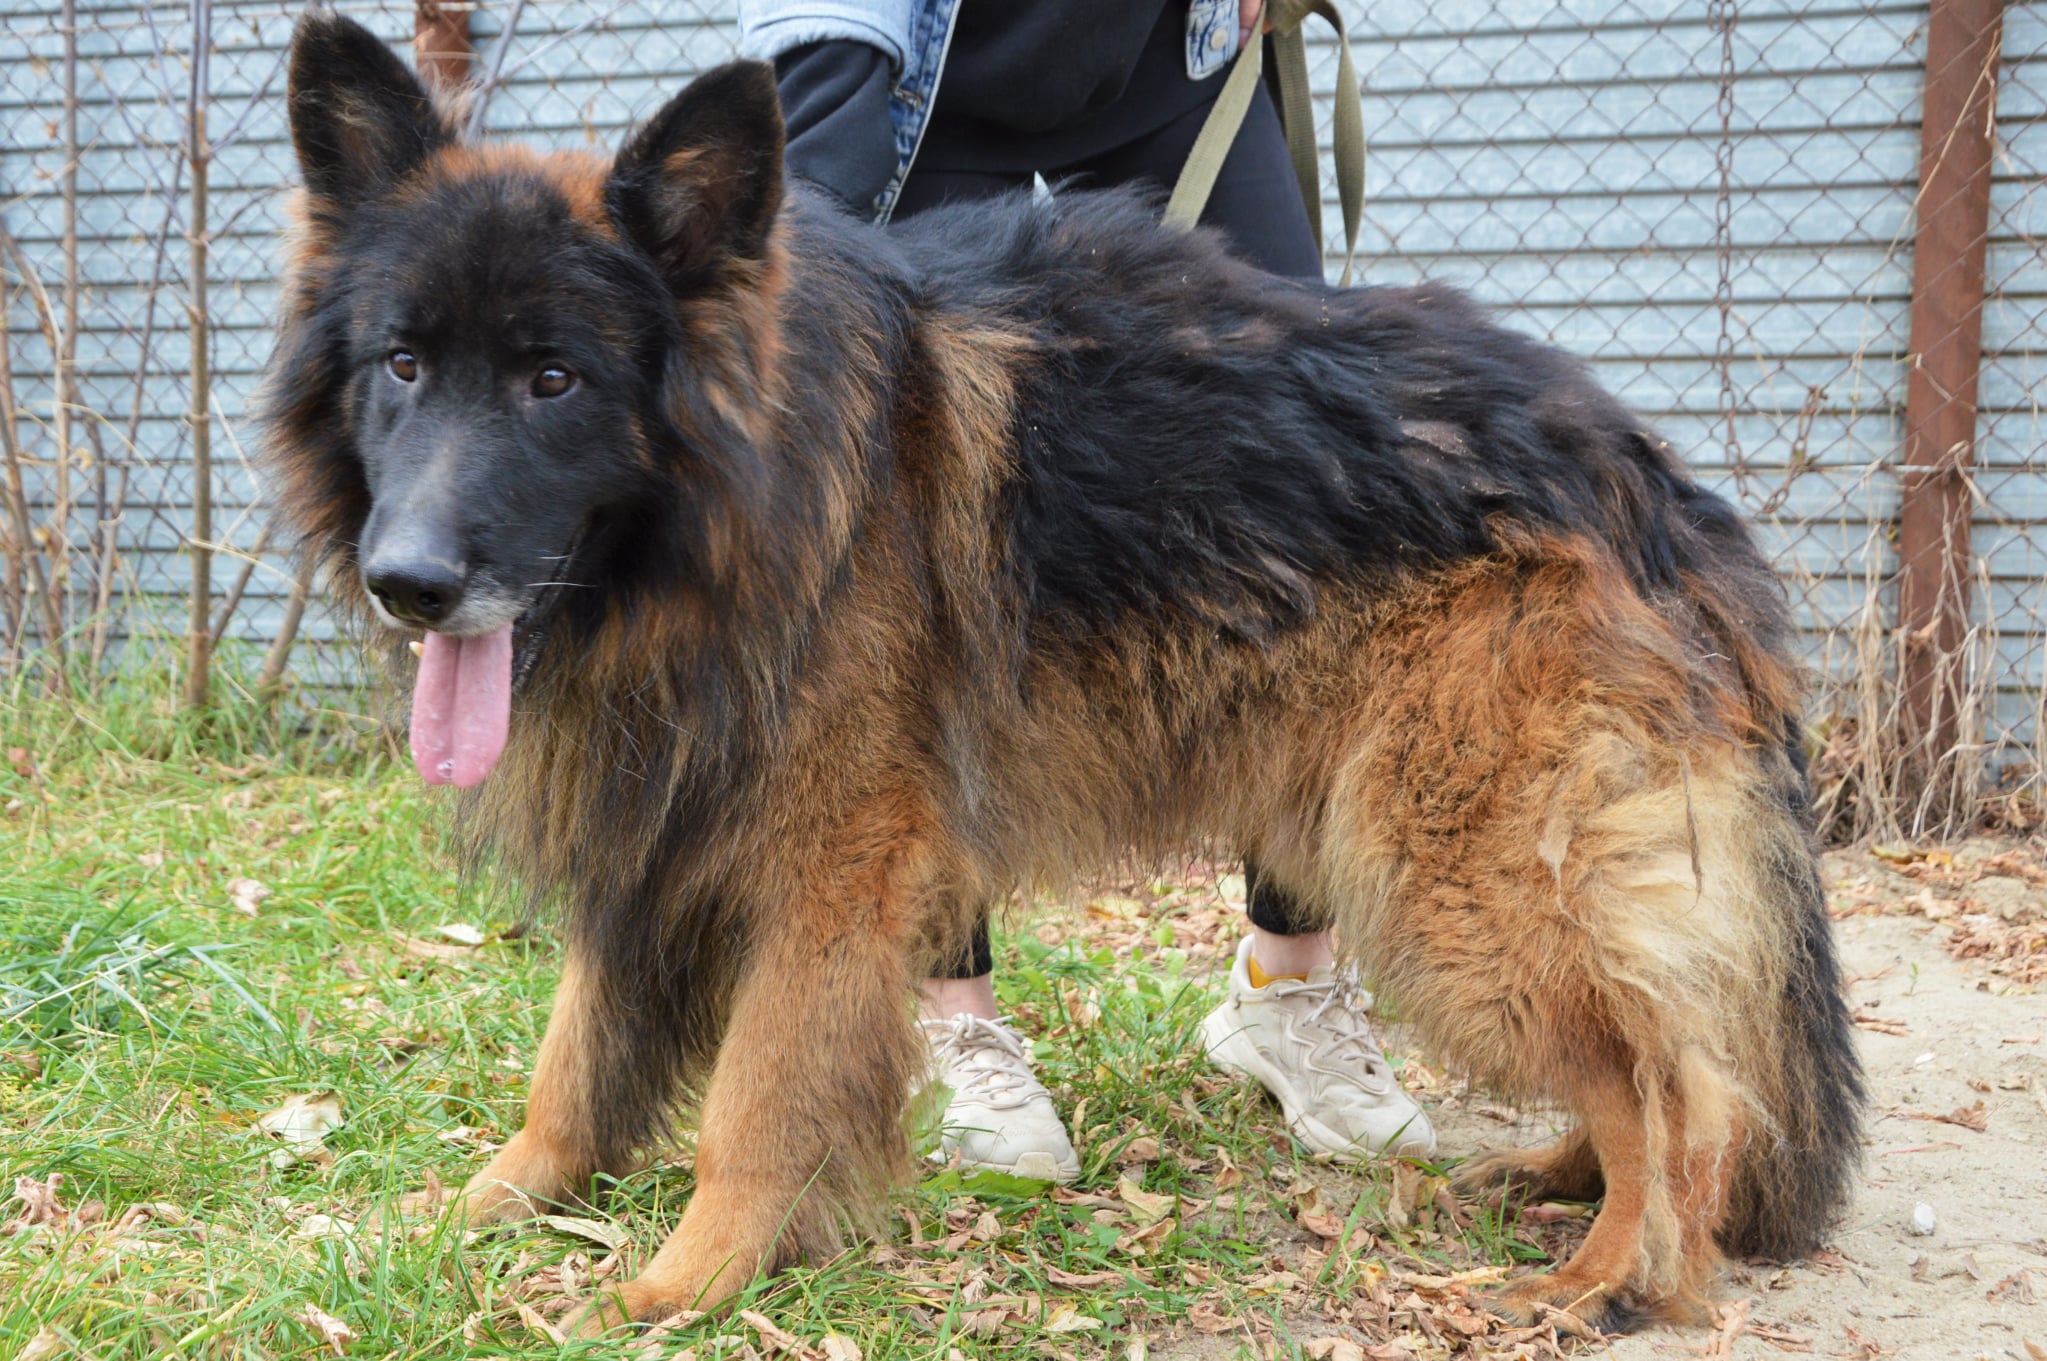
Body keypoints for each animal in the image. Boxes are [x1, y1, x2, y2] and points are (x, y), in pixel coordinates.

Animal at [265, 11, 1863, 1335]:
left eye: (555, 382)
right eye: (402, 364)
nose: (408, 582)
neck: (759, 494)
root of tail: (1645, 472)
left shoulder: (826, 866)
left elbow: (755, 1098)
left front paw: (687, 1277)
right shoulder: (657, 818)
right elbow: (576, 1058)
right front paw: (490, 1203)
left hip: (1442, 866)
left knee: (1674, 1076)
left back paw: (1622, 1271)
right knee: (1654, 1045)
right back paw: (1562, 1180)